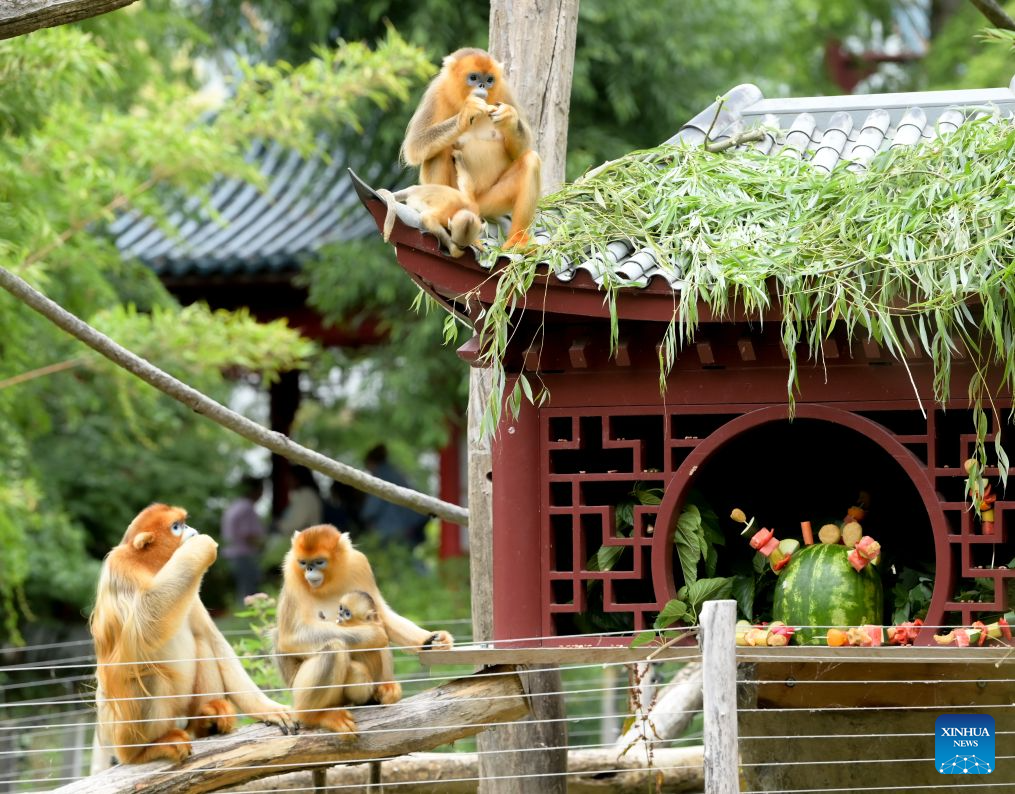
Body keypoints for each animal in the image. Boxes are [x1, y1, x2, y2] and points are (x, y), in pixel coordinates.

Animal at [89, 504, 295, 772]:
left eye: (184, 523)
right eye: (177, 527)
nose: (193, 531)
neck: (152, 567)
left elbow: (213, 640)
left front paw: (267, 708)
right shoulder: (121, 568)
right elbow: (142, 634)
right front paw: (200, 547)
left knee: (203, 645)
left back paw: (207, 722)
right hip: (122, 732)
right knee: (148, 672)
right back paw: (144, 751)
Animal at [274, 525, 453, 735]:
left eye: (319, 562)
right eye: (303, 563)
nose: (309, 570)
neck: (328, 582)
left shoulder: (358, 562)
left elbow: (382, 616)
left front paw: (433, 641)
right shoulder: (291, 574)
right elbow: (289, 638)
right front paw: (374, 635)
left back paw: (383, 690)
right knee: (334, 647)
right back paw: (316, 716)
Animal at [401, 47, 542, 249]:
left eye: (489, 80)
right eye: (474, 78)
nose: (482, 85)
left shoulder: (504, 90)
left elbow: (519, 152)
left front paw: (509, 117)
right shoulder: (436, 92)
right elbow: (415, 146)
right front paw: (467, 113)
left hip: (486, 204)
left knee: (530, 160)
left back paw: (518, 240)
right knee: (437, 152)